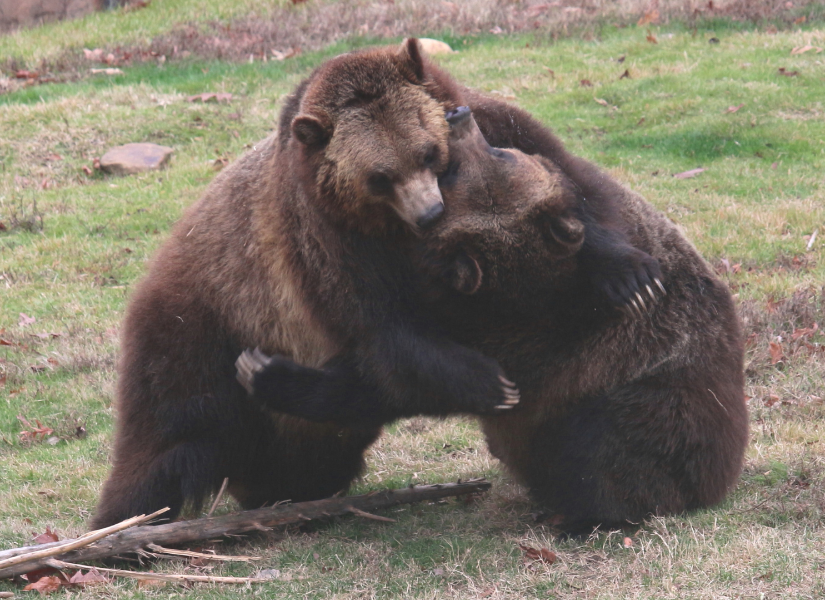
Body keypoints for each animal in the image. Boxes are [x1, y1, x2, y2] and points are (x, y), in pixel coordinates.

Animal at [90, 39, 525, 530]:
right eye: (379, 177)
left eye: (429, 152)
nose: (430, 213)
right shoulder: (324, 242)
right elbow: (383, 333)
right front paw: (490, 382)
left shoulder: (499, 132)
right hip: (199, 331)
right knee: (161, 438)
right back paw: (122, 520)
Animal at [240, 104, 748, 532]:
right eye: (454, 165)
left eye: (497, 152)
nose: (459, 114)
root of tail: (724, 476)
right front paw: (259, 365)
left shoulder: (530, 342)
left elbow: (392, 385)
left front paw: (266, 372)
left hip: (650, 401)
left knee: (605, 453)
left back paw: (578, 516)